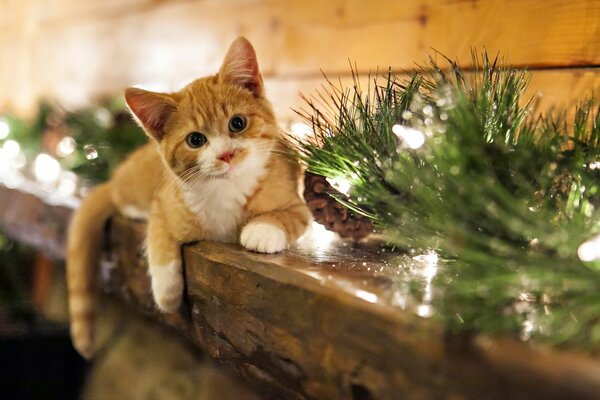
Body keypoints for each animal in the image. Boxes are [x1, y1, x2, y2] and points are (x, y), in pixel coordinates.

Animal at [68, 37, 312, 358]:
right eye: (196, 140)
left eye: (237, 123)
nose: (226, 154)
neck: (227, 189)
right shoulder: (164, 203)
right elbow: (159, 240)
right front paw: (167, 292)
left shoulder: (298, 203)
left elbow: (288, 215)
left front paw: (263, 229)